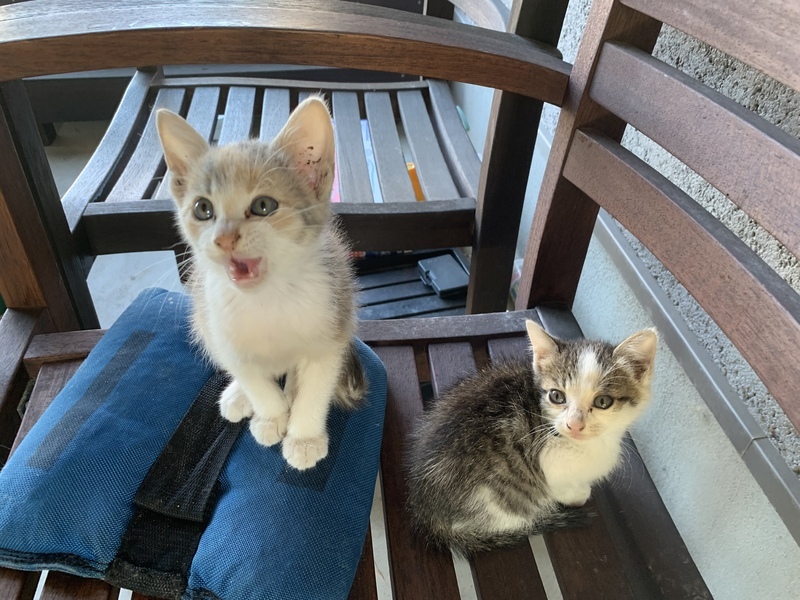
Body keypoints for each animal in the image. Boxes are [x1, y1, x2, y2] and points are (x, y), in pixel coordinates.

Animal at [156, 96, 364, 471]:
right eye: (203, 209)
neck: (267, 297)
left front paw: (304, 437)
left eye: (263, 205)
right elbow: (252, 377)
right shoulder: (221, 330)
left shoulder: (332, 326)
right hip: (202, 321)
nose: (224, 239)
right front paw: (270, 415)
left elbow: (316, 385)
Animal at [406, 319, 657, 554]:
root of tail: (424, 510)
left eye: (603, 401)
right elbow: (560, 487)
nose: (574, 425)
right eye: (557, 396)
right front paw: (578, 493)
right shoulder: (549, 462)